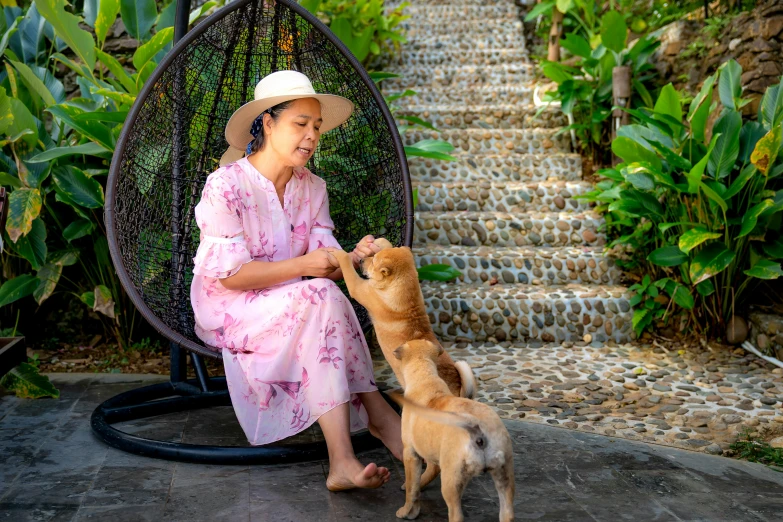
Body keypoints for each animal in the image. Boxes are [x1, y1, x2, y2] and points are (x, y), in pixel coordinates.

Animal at [326, 244, 474, 398]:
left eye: (373, 261)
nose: (361, 260)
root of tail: (460, 393)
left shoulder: (359, 288)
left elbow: (346, 264)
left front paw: (337, 252)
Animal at [390, 338, 516, 520]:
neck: (425, 376)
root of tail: (475, 426)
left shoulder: (410, 453)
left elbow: (412, 489)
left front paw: (407, 511)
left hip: (451, 480)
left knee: (456, 514)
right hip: (504, 476)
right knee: (507, 513)